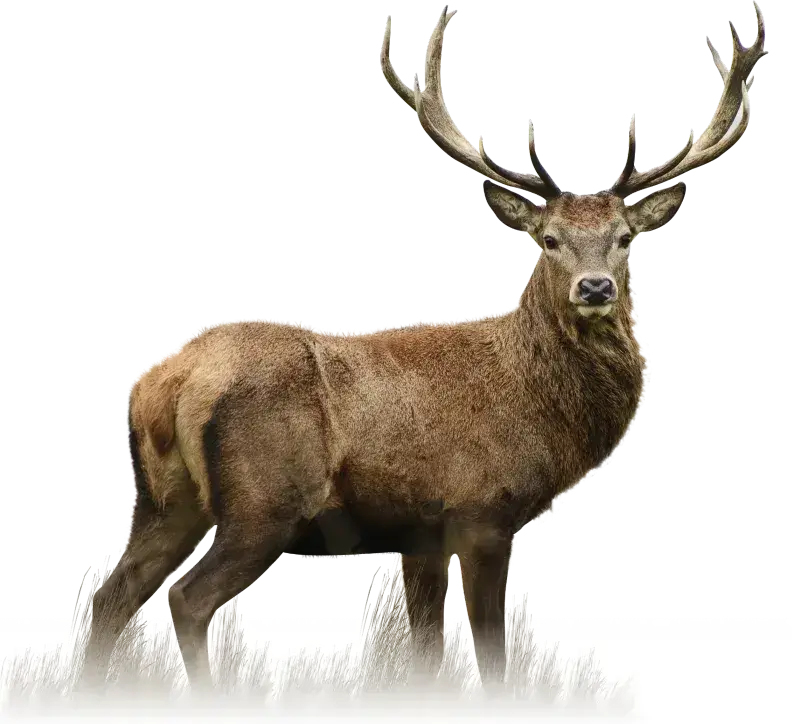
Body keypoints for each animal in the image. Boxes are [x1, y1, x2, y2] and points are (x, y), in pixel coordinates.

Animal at [81, 3, 767, 695]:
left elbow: (426, 654)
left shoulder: (420, 534)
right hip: (265, 500)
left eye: (625, 238)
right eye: (548, 239)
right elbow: (492, 656)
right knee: (187, 601)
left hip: (164, 500)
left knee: (110, 599)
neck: (541, 411)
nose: (594, 286)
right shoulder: (482, 510)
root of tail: (165, 378)